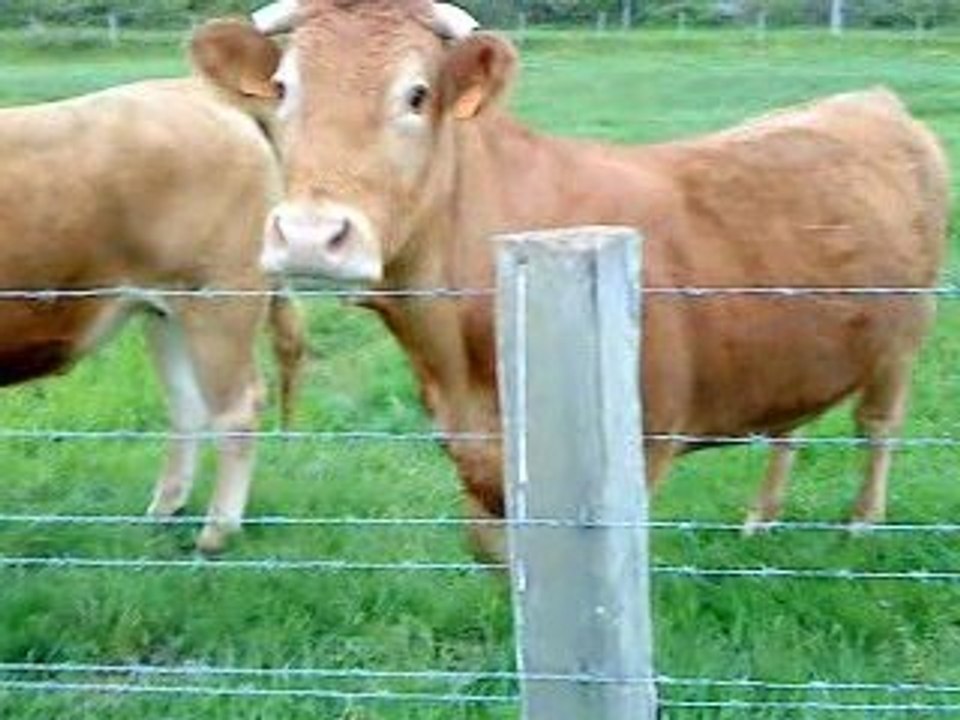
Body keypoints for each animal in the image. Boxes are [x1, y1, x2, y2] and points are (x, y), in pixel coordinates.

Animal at [0, 77, 308, 553]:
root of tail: (201, 90)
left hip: (219, 302)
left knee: (238, 408)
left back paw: (216, 532)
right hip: (167, 313)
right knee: (187, 403)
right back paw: (165, 510)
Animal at [191, 1, 949, 561]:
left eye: (416, 94)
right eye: (282, 89)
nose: (311, 235)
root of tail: (874, 101)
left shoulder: (635, 452)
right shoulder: (475, 461)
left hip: (904, 337)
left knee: (878, 428)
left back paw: (862, 524)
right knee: (789, 428)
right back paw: (760, 519)